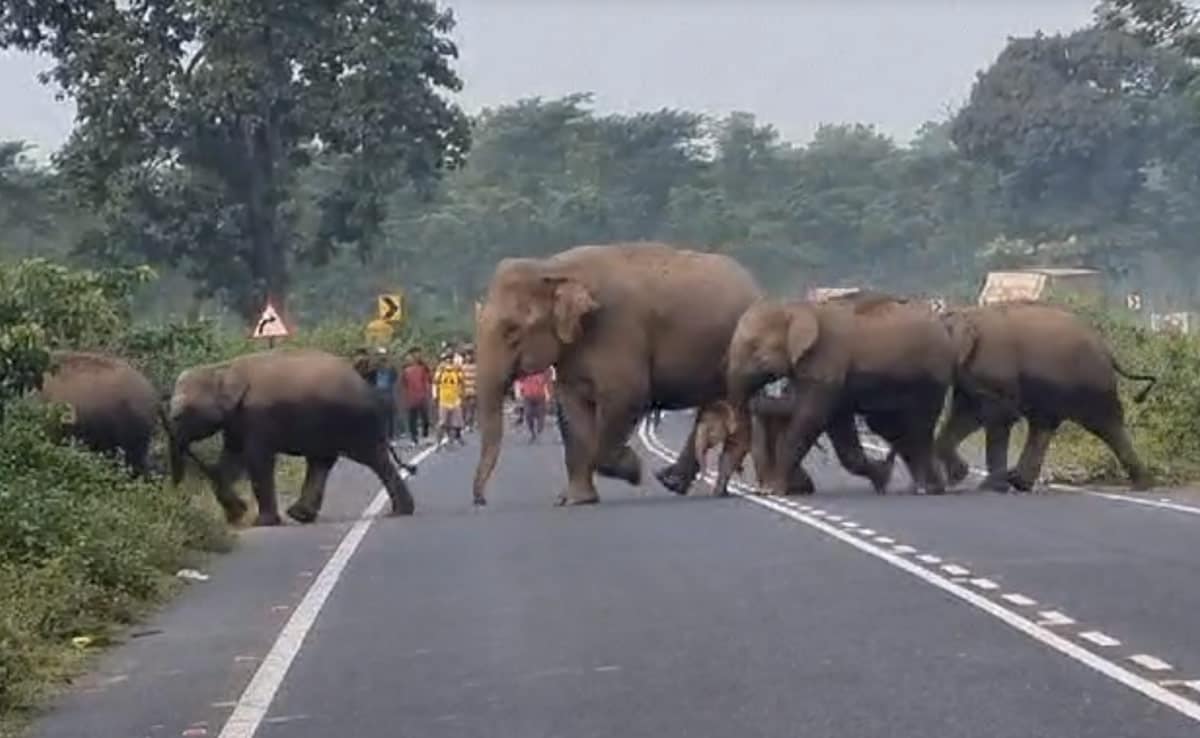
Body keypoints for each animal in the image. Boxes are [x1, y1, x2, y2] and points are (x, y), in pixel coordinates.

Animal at [166, 348, 415, 525]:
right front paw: (237, 516)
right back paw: (300, 515)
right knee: (321, 462)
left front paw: (261, 522)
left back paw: (401, 512)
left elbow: (257, 459)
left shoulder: (258, 417)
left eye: (179, 416)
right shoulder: (237, 420)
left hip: (353, 423)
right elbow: (230, 459)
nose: (179, 499)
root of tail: (365, 386)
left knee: (374, 459)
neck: (223, 368)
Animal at [468, 242, 758, 508]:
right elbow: (571, 409)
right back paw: (671, 481)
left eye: (512, 331)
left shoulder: (618, 328)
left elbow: (626, 396)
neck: (552, 267)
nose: (480, 500)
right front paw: (577, 500)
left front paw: (635, 470)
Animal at [720, 294, 955, 496]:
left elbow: (810, 418)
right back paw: (921, 486)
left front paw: (775, 490)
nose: (760, 396)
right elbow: (839, 430)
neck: (797, 307)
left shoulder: (826, 363)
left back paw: (928, 488)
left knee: (918, 427)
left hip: (931, 378)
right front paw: (881, 478)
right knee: (889, 427)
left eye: (753, 348)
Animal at [931, 303, 1156, 494]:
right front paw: (959, 477)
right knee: (1043, 425)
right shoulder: (971, 374)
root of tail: (1108, 352)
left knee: (1106, 425)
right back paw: (1018, 482)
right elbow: (965, 415)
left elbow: (998, 417)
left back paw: (1142, 486)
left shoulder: (994, 370)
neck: (963, 315)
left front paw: (987, 487)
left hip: (1093, 382)